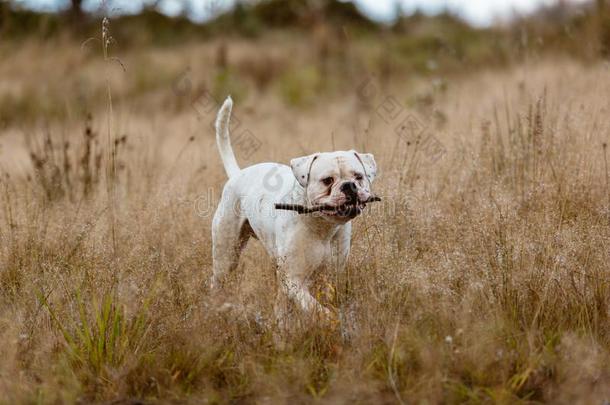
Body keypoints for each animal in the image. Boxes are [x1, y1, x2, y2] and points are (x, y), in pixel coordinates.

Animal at [213, 96, 376, 320]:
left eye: (358, 177)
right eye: (327, 180)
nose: (349, 186)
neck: (322, 227)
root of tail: (237, 174)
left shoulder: (329, 276)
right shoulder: (294, 279)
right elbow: (314, 307)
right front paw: (328, 319)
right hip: (226, 255)